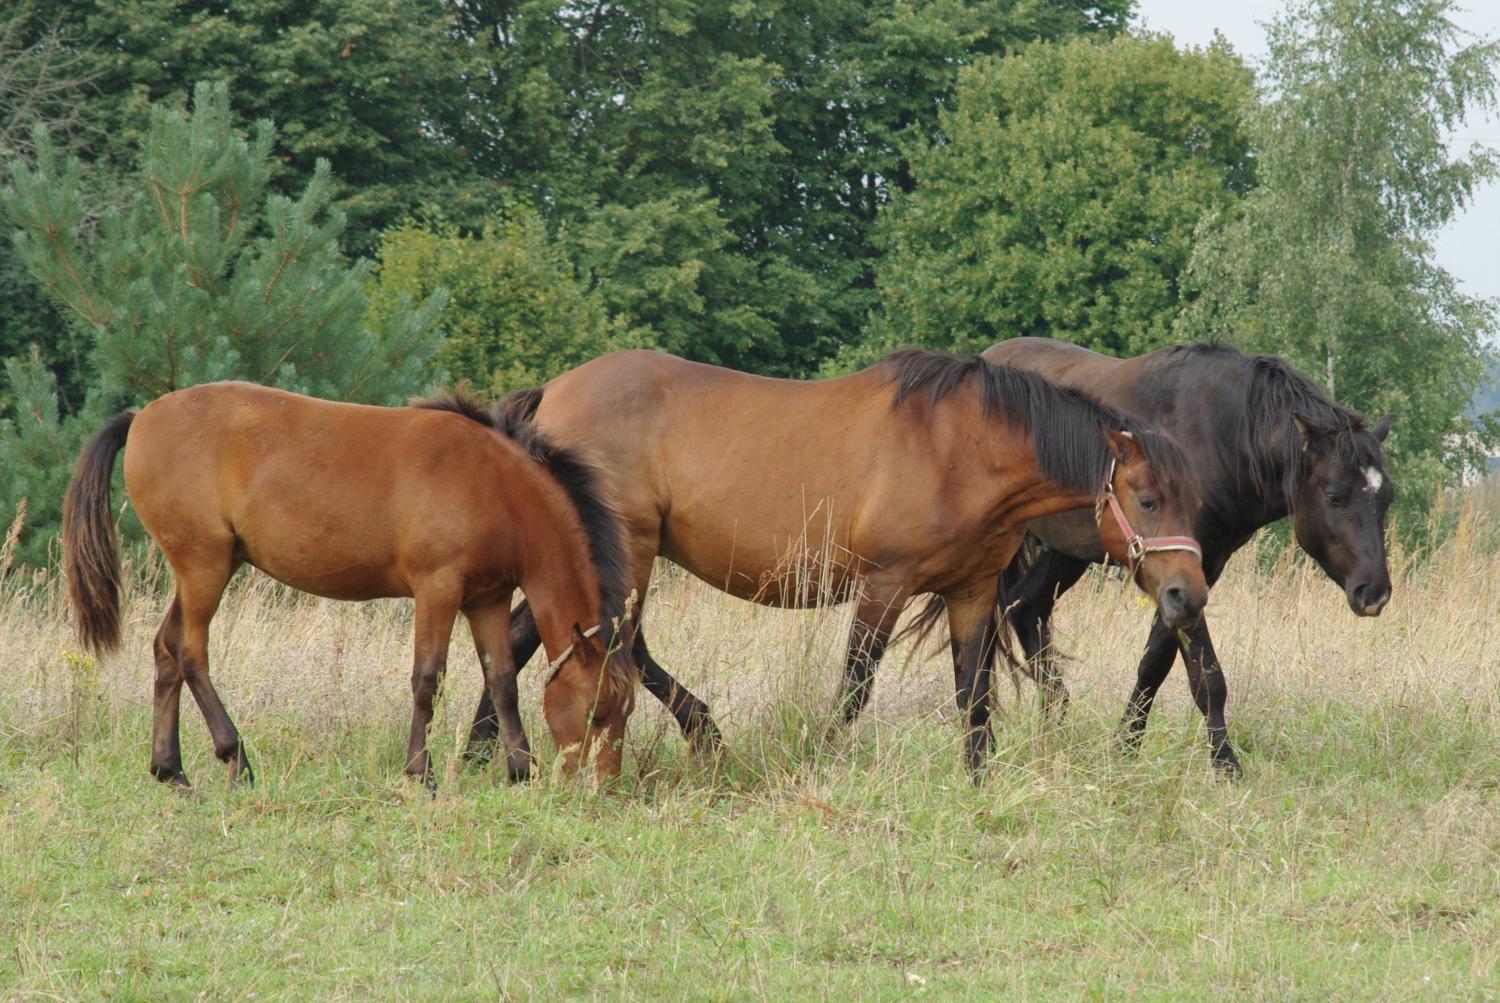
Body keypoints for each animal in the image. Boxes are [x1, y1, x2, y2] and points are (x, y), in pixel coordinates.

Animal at [63, 379, 639, 785]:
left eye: (624, 710)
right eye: (596, 712)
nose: (601, 787)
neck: (495, 484)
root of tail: (141, 417)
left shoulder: (488, 599)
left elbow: (501, 680)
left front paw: (520, 769)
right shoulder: (437, 591)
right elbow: (427, 679)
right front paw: (420, 772)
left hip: (201, 571)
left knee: (165, 649)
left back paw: (170, 768)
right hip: (204, 566)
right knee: (189, 652)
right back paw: (236, 757)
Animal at [465, 347, 1206, 773]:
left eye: (1195, 504)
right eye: (1146, 499)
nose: (1187, 596)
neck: (962, 447)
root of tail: (551, 395)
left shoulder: (970, 591)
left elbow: (972, 697)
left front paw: (979, 779)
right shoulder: (885, 586)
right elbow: (855, 685)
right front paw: (822, 759)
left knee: (546, 636)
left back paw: (487, 754)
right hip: (628, 549)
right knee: (608, 640)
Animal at [984, 335, 1392, 767]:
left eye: (1387, 499)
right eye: (1335, 497)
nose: (1374, 592)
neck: (1219, 437)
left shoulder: (1198, 571)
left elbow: (1155, 665)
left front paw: (1126, 746)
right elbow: (1205, 677)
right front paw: (1225, 764)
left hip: (1068, 552)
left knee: (1026, 607)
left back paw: (1056, 724)